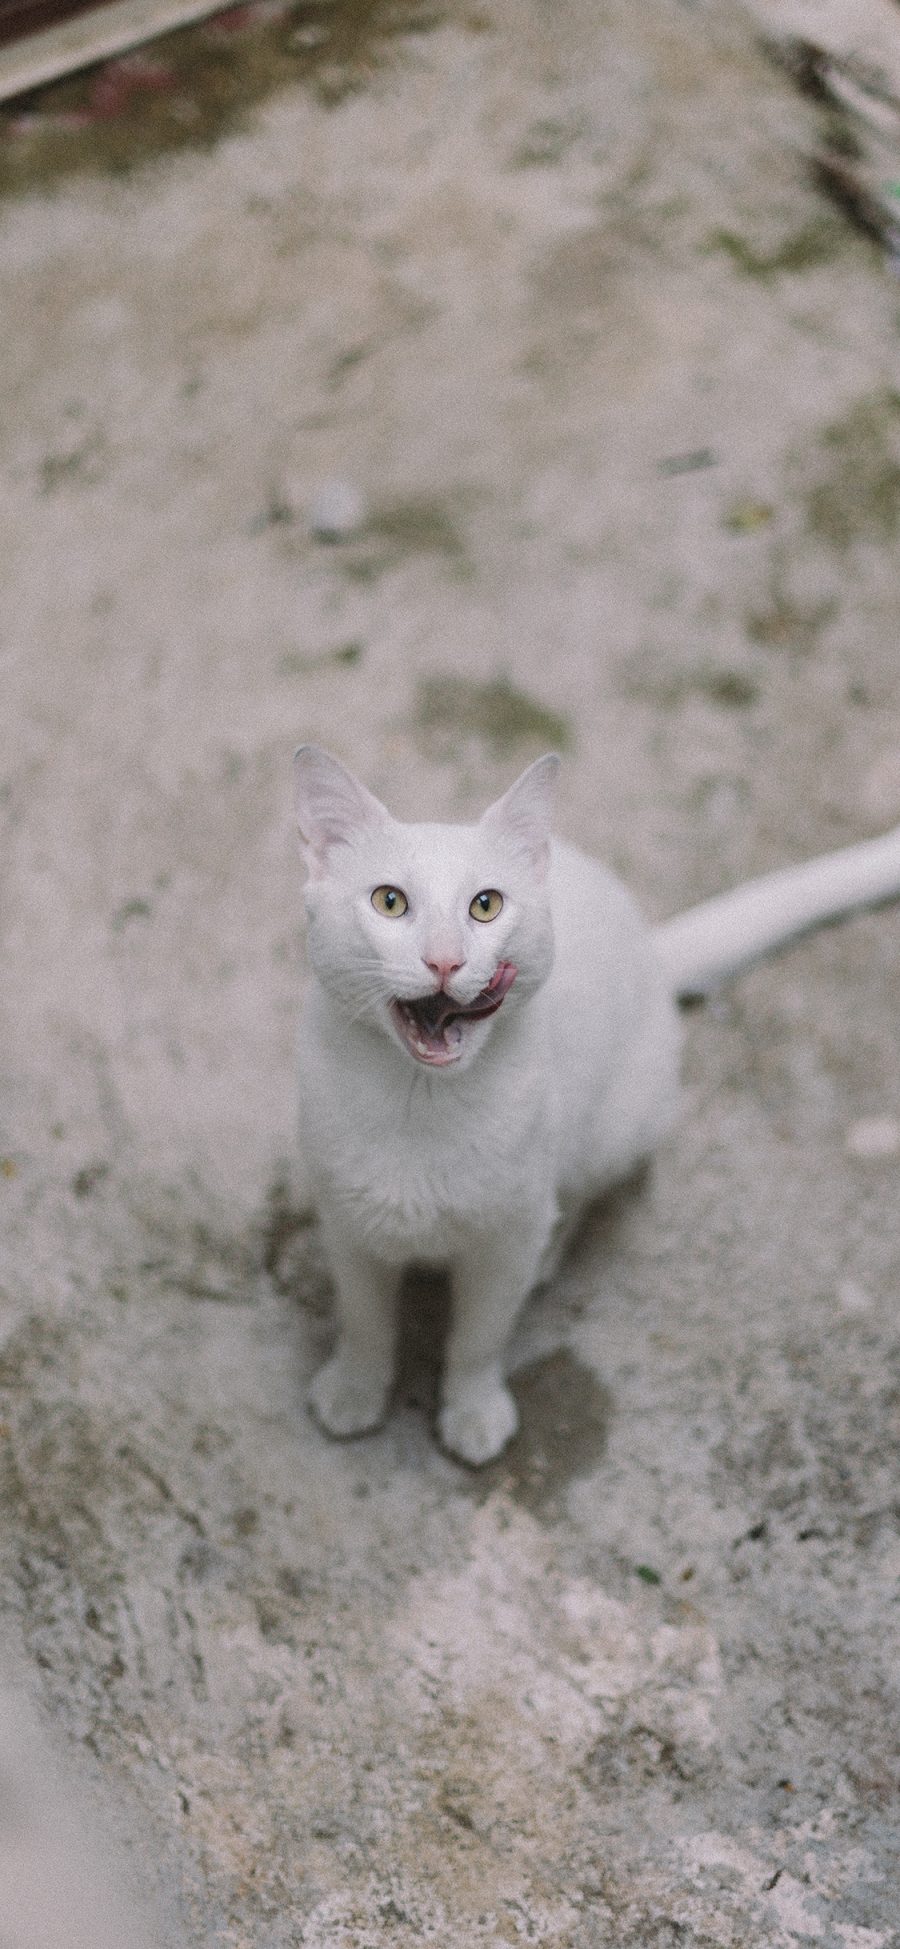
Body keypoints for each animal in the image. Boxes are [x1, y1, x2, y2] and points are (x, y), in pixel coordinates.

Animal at [292, 744, 900, 1465]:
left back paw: (552, 1252)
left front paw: (472, 1409)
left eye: (486, 906)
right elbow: (365, 1322)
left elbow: (478, 1338)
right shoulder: (348, 1226)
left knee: (578, 1194)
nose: (445, 961)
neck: (421, 1104)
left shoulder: (504, 1241)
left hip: (613, 1128)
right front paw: (355, 1387)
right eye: (389, 901)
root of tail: (651, 951)